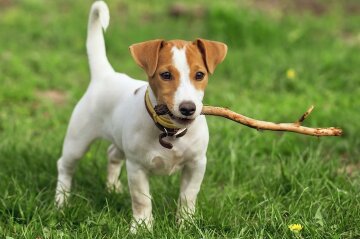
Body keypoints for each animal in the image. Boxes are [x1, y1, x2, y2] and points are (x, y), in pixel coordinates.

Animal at [54, 0, 226, 232]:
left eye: (200, 75)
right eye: (165, 75)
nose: (188, 108)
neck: (170, 131)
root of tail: (105, 75)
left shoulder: (197, 163)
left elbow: (188, 196)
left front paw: (186, 223)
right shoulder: (136, 167)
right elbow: (141, 199)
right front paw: (142, 226)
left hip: (118, 141)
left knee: (112, 154)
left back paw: (112, 188)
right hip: (77, 140)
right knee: (65, 165)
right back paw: (61, 201)